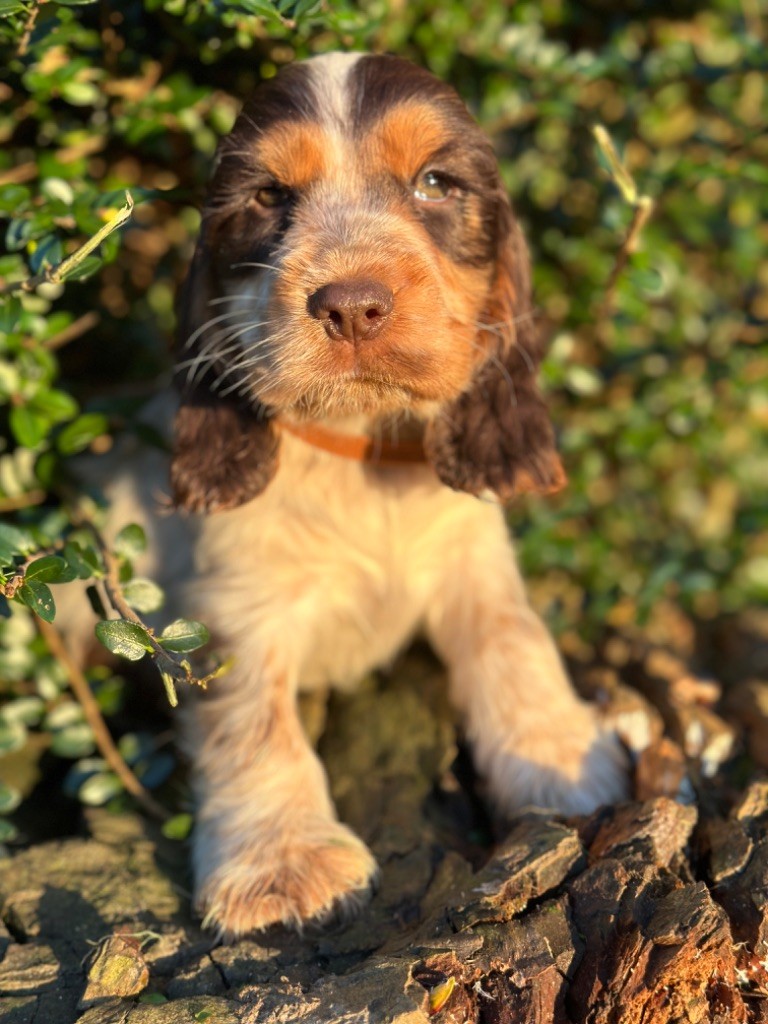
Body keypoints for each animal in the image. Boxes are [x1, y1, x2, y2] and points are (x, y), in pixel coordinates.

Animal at [171, 54, 626, 937]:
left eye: (436, 183)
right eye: (267, 196)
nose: (350, 305)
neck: (361, 441)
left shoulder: (473, 556)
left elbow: (514, 640)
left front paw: (561, 760)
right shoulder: (236, 604)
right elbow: (253, 723)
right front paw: (286, 864)